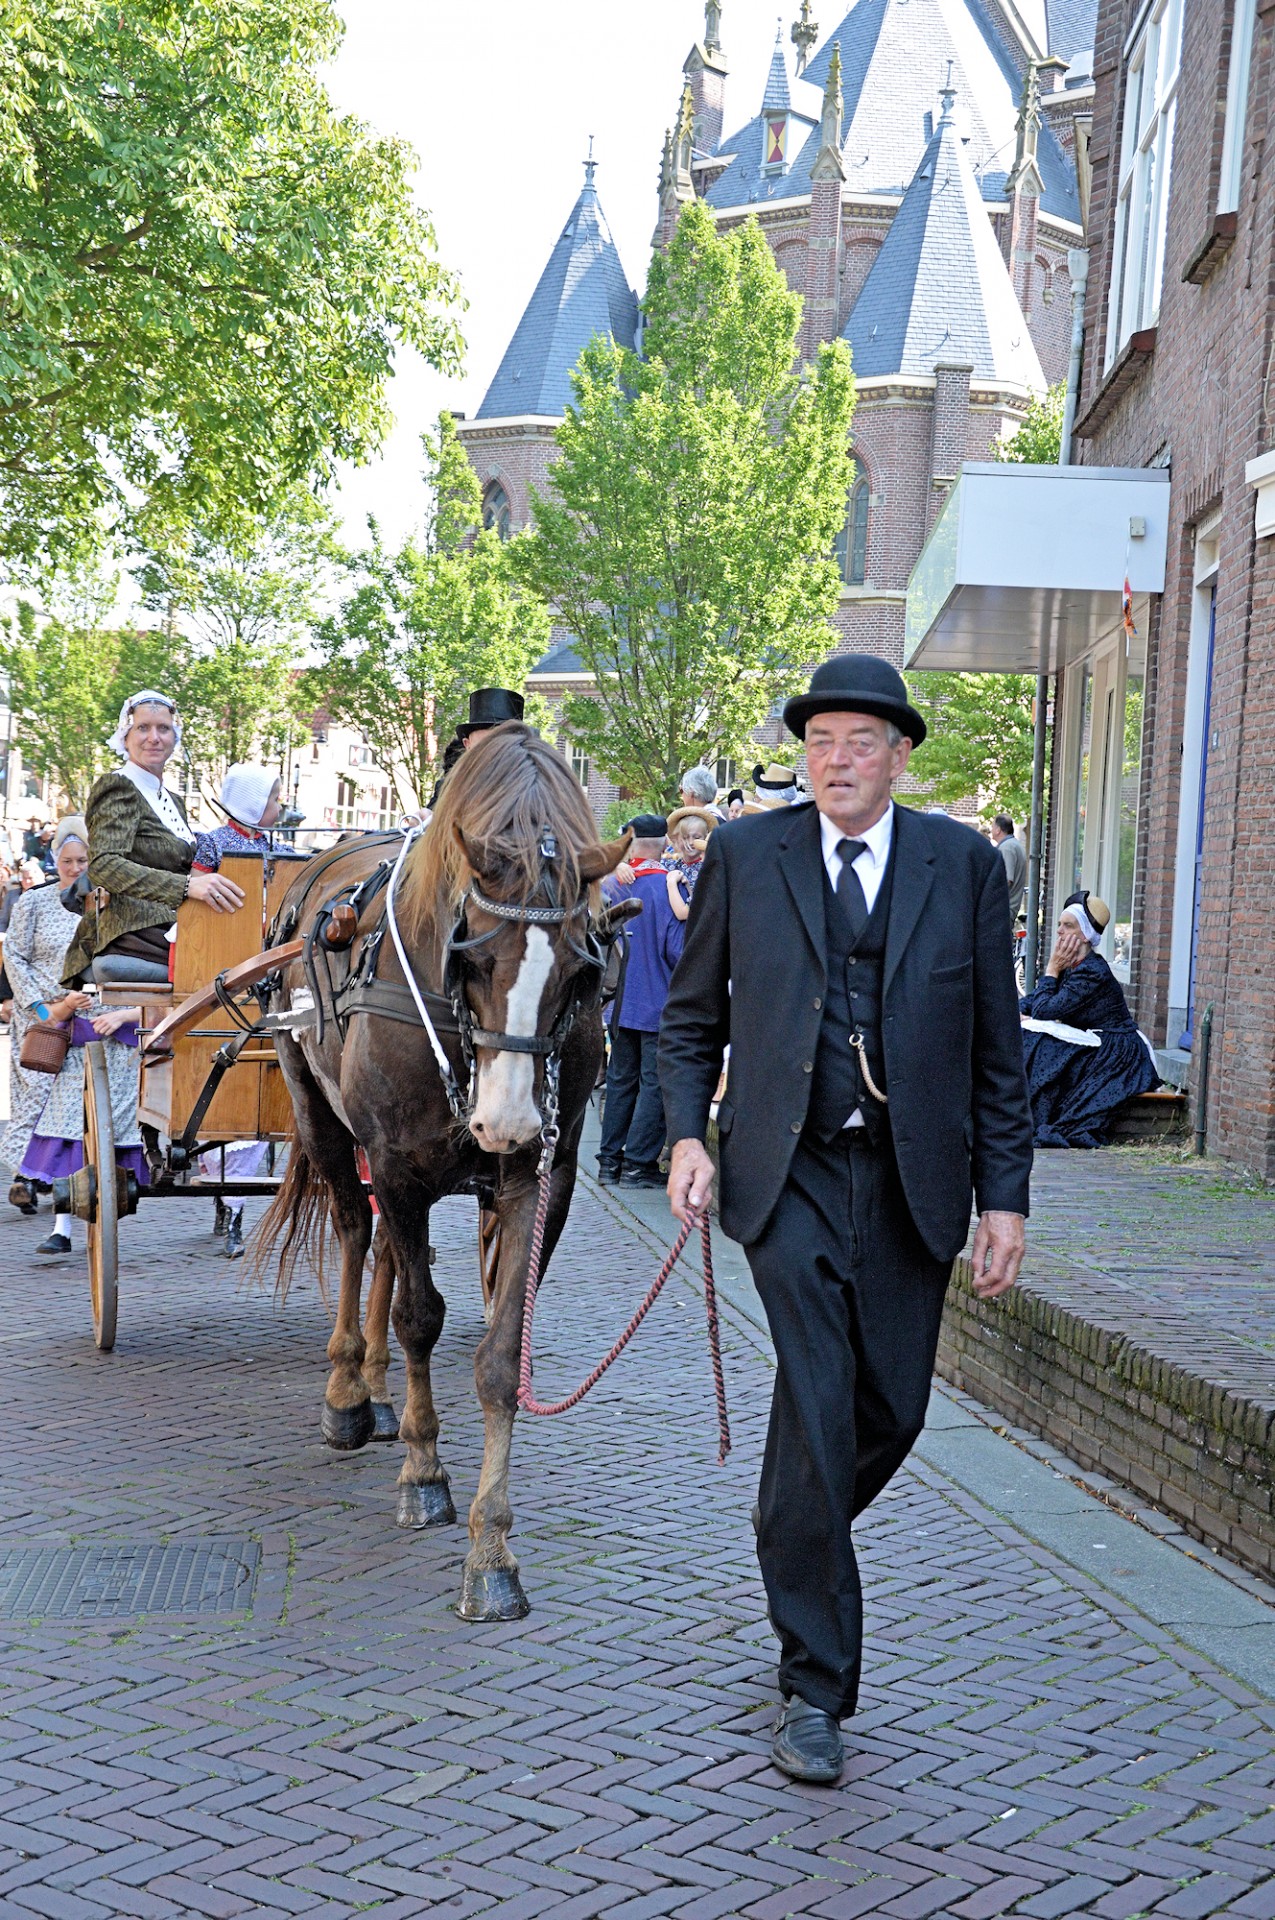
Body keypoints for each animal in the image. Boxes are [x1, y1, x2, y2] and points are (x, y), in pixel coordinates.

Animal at [257, 721, 633, 1620]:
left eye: (585, 968)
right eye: (470, 959)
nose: (505, 1121)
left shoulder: (542, 1178)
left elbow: (498, 1355)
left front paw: (490, 1552)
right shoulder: (393, 1164)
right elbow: (420, 1317)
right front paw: (424, 1472)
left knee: (395, 1258)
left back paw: (377, 1386)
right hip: (320, 1115)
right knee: (356, 1236)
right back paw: (348, 1394)